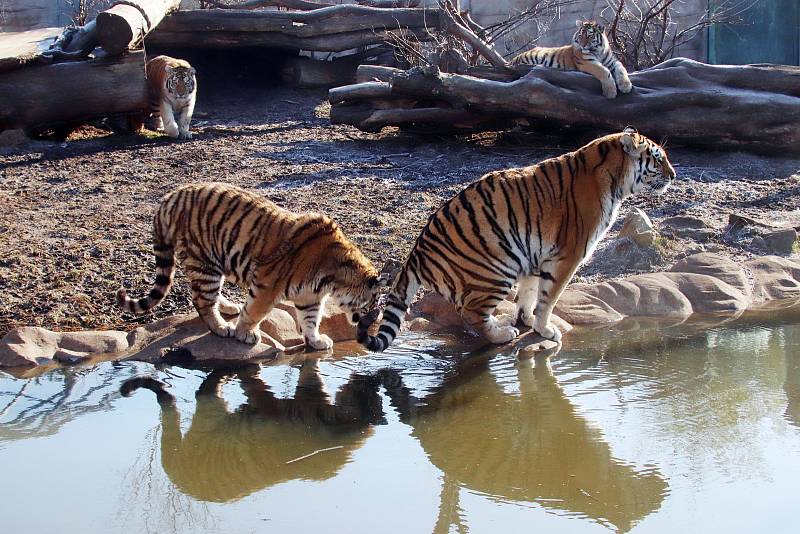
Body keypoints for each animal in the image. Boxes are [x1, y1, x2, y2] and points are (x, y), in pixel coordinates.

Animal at [117, 184, 390, 352]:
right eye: (373, 303)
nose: (375, 320)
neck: (332, 280)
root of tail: (169, 198)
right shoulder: (268, 284)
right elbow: (255, 311)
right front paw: (244, 334)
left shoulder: (309, 297)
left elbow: (311, 320)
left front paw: (316, 341)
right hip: (205, 263)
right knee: (202, 300)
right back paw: (222, 327)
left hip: (211, 265)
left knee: (206, 295)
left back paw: (229, 307)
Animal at [360, 127, 680, 354]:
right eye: (658, 158)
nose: (674, 175)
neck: (615, 181)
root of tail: (417, 251)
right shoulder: (567, 256)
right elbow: (548, 298)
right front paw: (545, 329)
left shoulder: (535, 252)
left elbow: (529, 293)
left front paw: (527, 320)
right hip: (495, 270)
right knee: (471, 313)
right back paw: (502, 334)